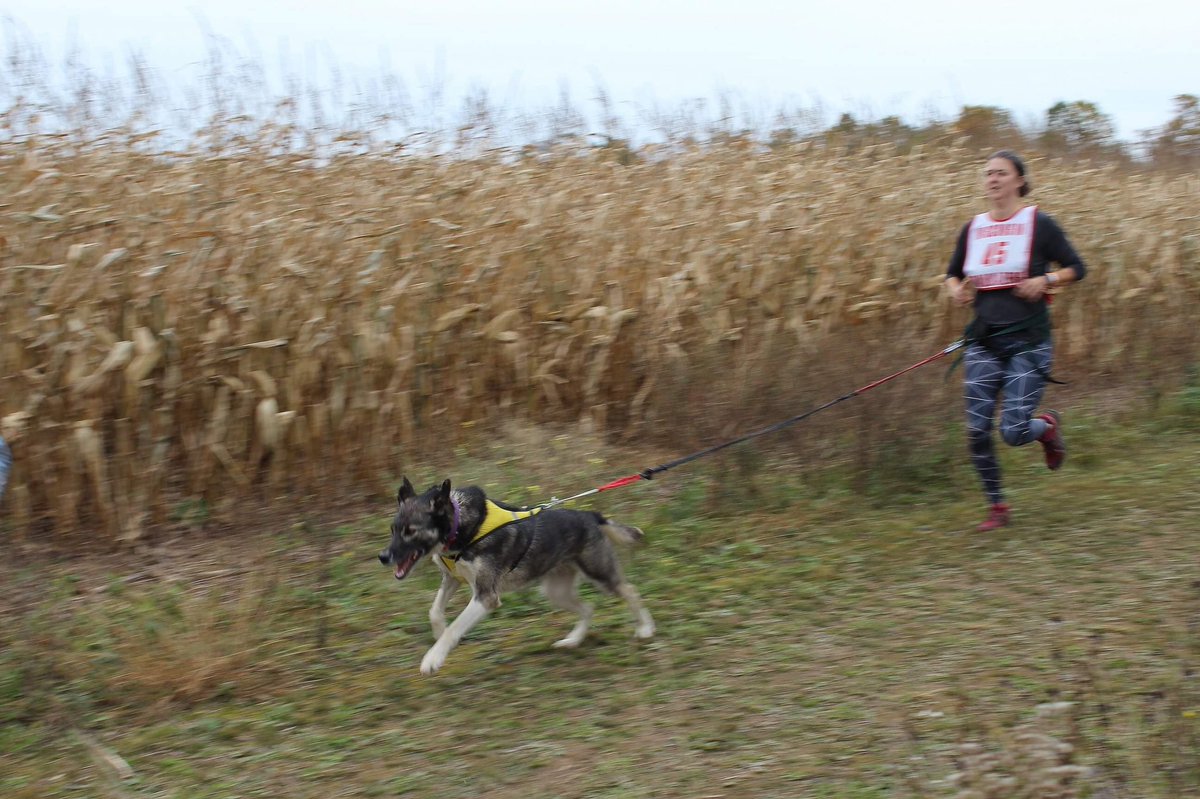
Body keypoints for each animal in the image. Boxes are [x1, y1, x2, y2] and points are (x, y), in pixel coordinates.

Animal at [379, 479, 657, 671]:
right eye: (393, 529)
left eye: (411, 531)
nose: (383, 556)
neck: (461, 529)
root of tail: (590, 515)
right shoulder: (452, 580)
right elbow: (435, 612)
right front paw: (438, 635)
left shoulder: (486, 596)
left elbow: (455, 627)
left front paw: (433, 658)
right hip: (555, 591)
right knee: (588, 608)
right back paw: (573, 640)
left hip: (600, 574)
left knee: (630, 591)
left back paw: (645, 628)